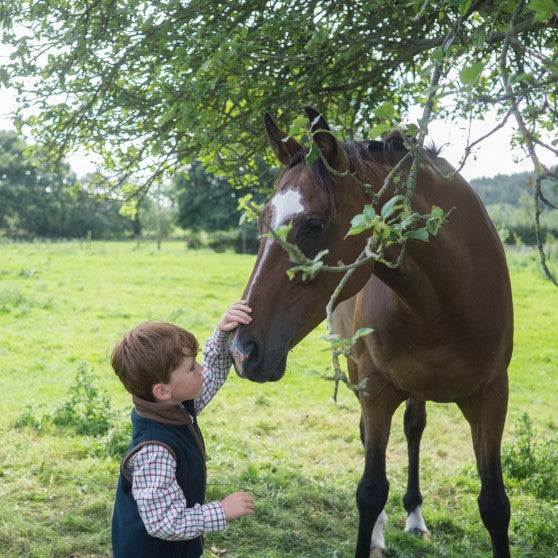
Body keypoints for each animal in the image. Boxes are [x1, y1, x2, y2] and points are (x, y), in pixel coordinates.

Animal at [229, 106, 516, 558]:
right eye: (262, 220)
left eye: (313, 225)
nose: (243, 351)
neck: (448, 297)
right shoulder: (376, 390)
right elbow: (370, 490)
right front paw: (374, 526)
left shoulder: (491, 397)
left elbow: (494, 504)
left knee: (415, 427)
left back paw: (414, 514)